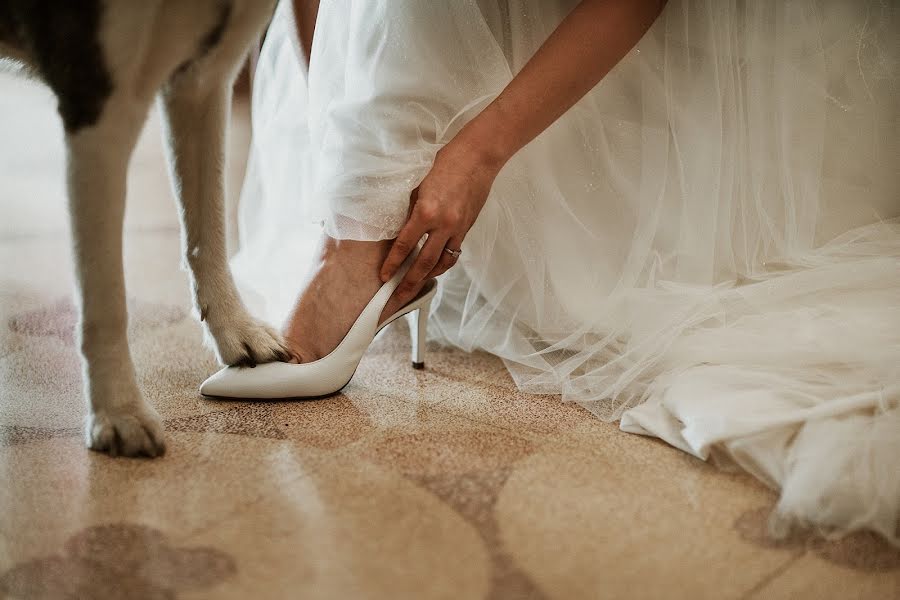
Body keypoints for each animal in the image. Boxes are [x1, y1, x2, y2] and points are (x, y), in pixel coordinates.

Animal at [0, 0, 284, 458]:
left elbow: (208, 229)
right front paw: (119, 411)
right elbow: (106, 294)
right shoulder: (101, 105)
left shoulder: (205, 78)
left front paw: (236, 328)